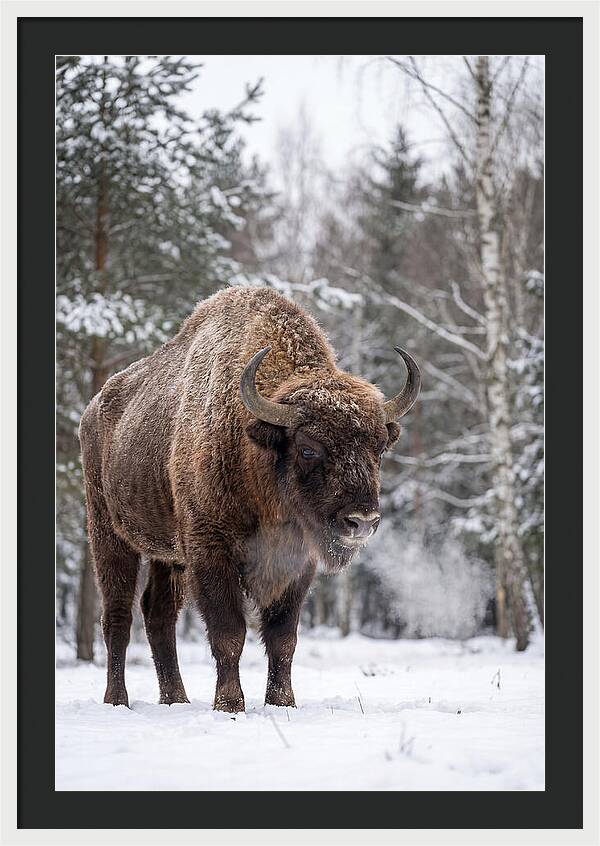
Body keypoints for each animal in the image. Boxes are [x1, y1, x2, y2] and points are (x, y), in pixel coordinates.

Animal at [79, 286, 420, 711]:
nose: (362, 521)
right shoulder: (210, 552)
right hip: (109, 534)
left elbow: (282, 638)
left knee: (158, 615)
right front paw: (229, 705)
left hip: (166, 554)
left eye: (378, 448)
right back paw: (117, 700)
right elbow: (229, 633)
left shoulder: (297, 563)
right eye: (308, 448)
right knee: (118, 616)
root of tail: (93, 410)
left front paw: (282, 703)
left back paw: (176, 700)